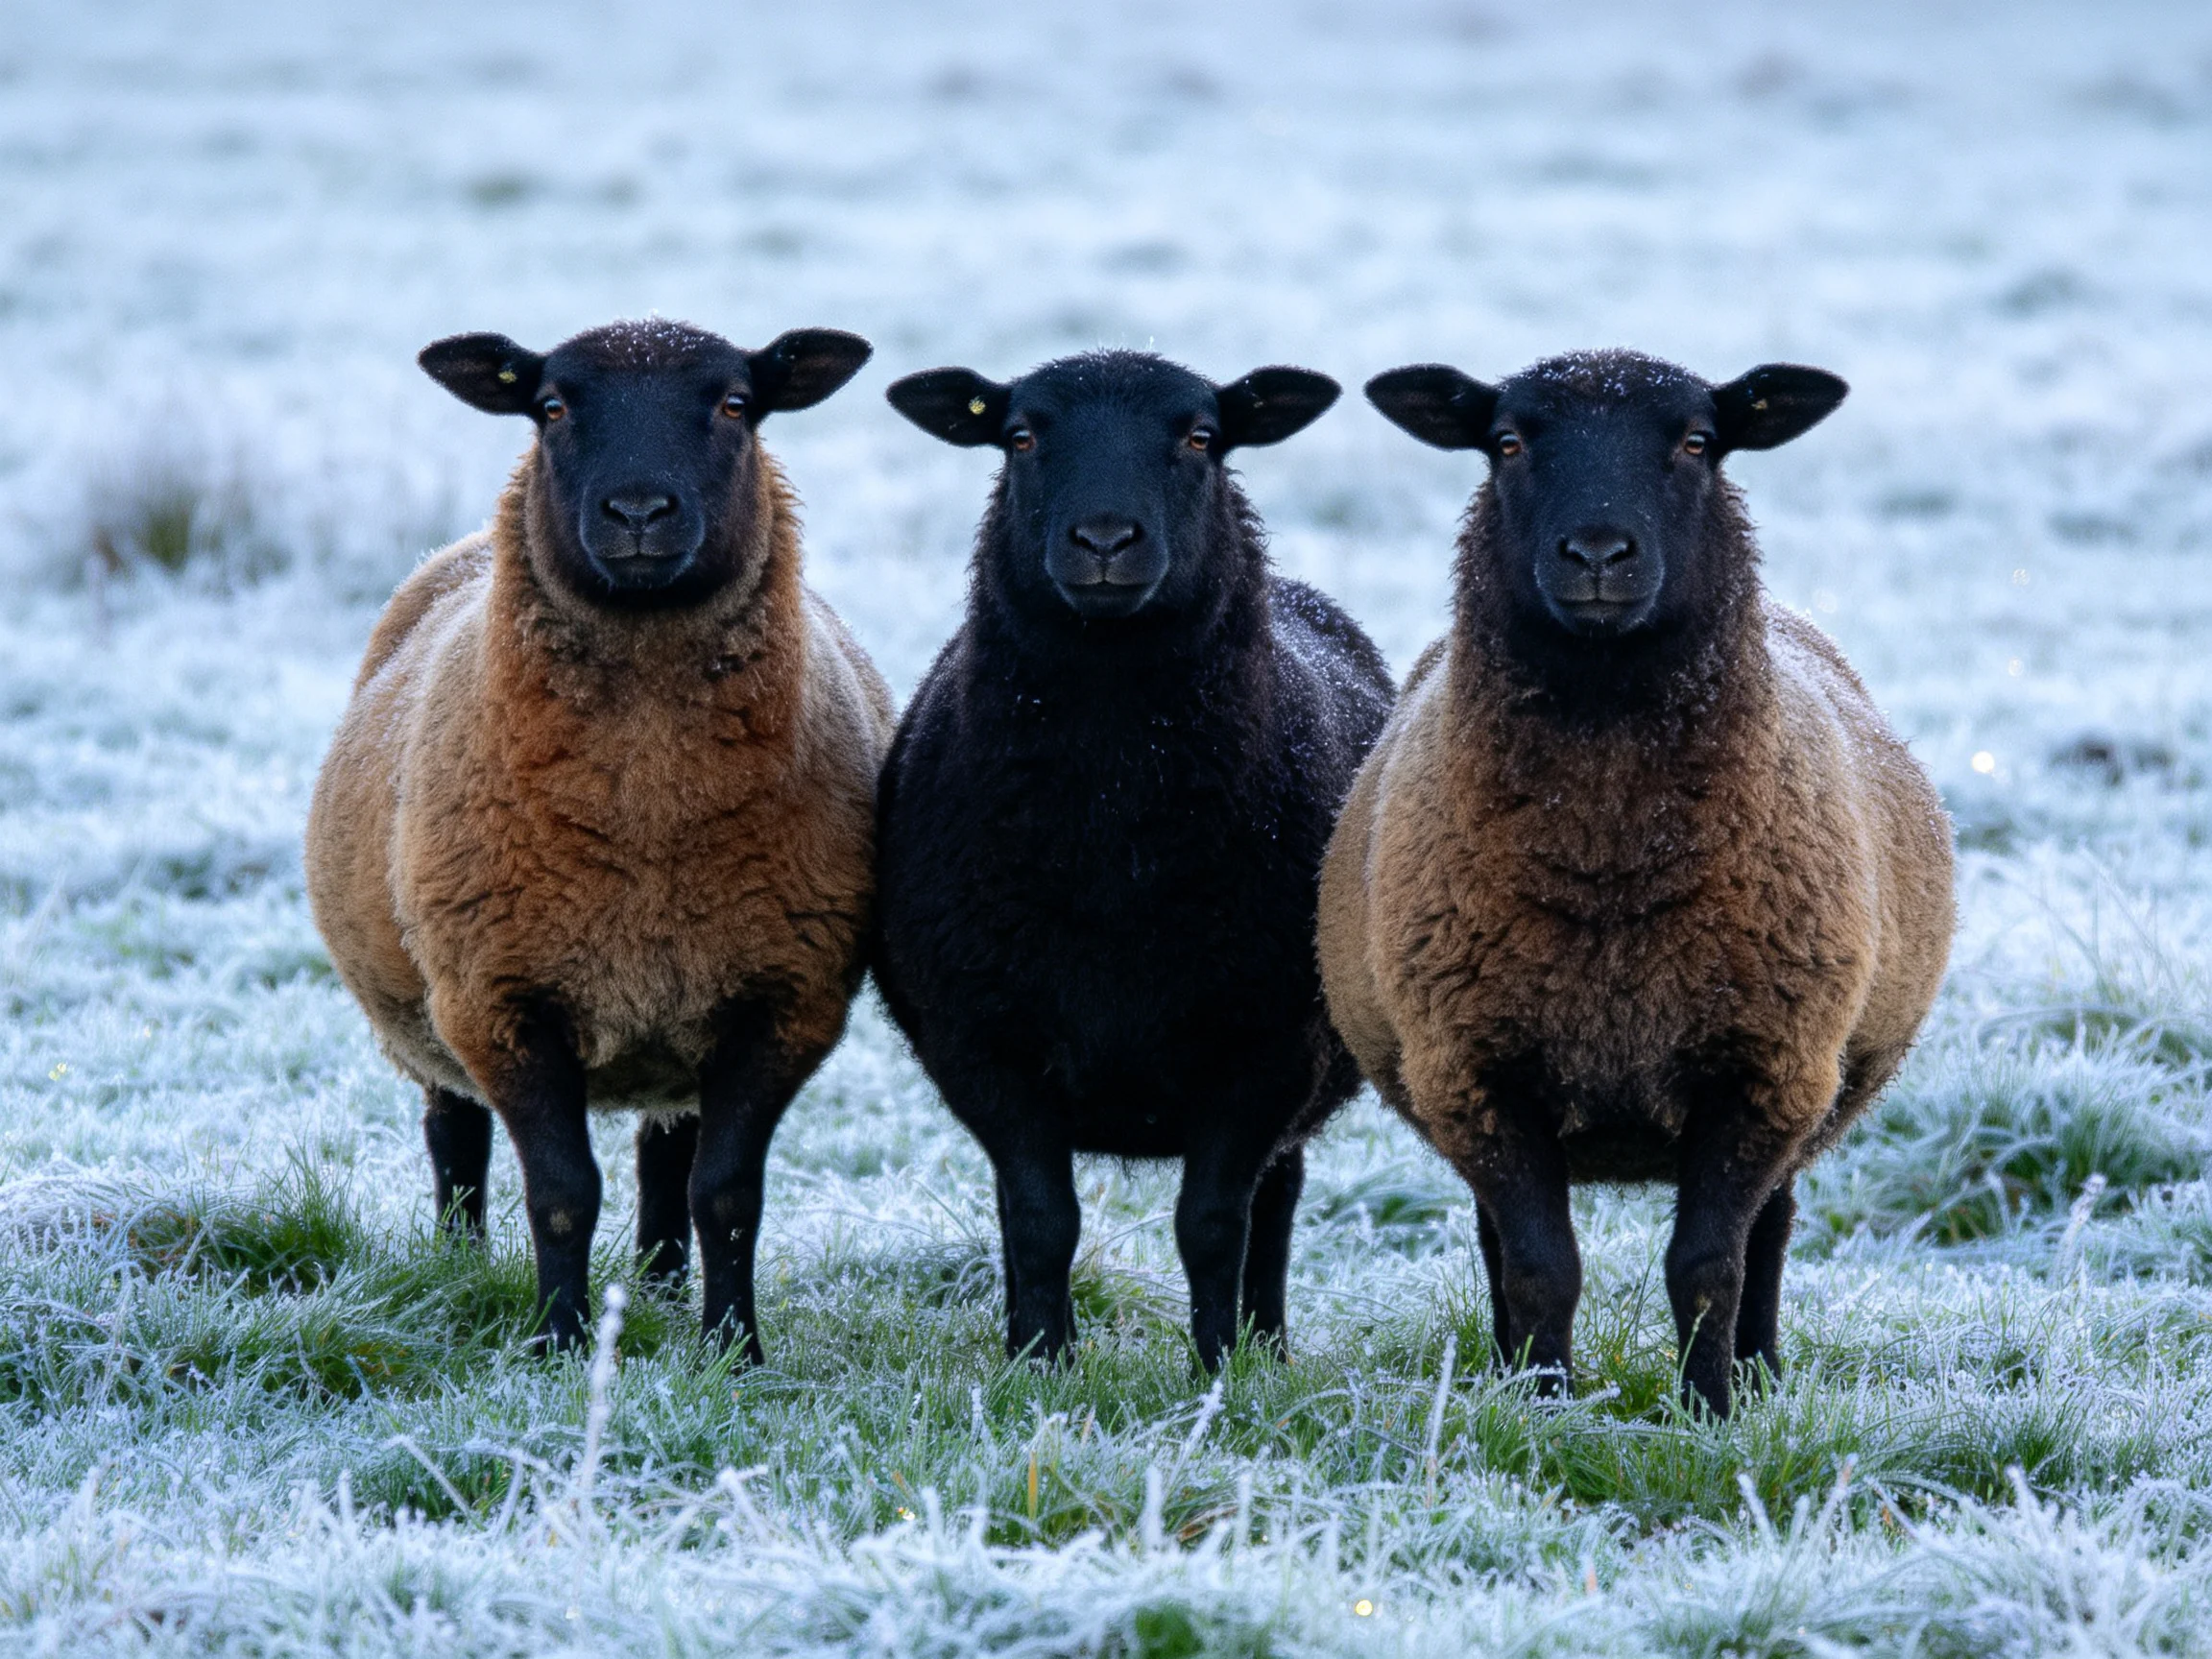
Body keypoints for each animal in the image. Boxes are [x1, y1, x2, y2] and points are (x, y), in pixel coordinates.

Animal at [305, 319, 891, 1355]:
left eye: (736, 404)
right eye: (550, 406)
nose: (640, 511)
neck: (649, 815)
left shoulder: (782, 999)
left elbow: (726, 1194)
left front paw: (732, 1351)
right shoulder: (499, 997)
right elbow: (562, 1192)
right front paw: (558, 1344)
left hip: (682, 1015)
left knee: (668, 1155)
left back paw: (657, 1287)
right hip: (430, 1002)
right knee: (454, 1135)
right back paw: (461, 1264)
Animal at [875, 349, 1395, 1371]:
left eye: (1200, 437)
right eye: (1019, 435)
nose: (1106, 539)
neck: (1111, 837)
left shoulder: (1265, 1049)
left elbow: (1214, 1224)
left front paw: (1219, 1371)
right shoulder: (981, 1042)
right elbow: (1041, 1219)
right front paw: (1040, 1366)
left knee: (1276, 1201)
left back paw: (1268, 1347)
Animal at [1319, 350, 1954, 1416]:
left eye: (1698, 442)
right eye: (1507, 442)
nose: (1598, 555)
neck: (1609, 864)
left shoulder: (1765, 1069)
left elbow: (1709, 1266)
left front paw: (1709, 1414)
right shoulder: (1477, 1073)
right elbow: (1540, 1268)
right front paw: (1542, 1408)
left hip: (1810, 1081)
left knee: (1770, 1232)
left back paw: (1760, 1373)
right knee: (1499, 1242)